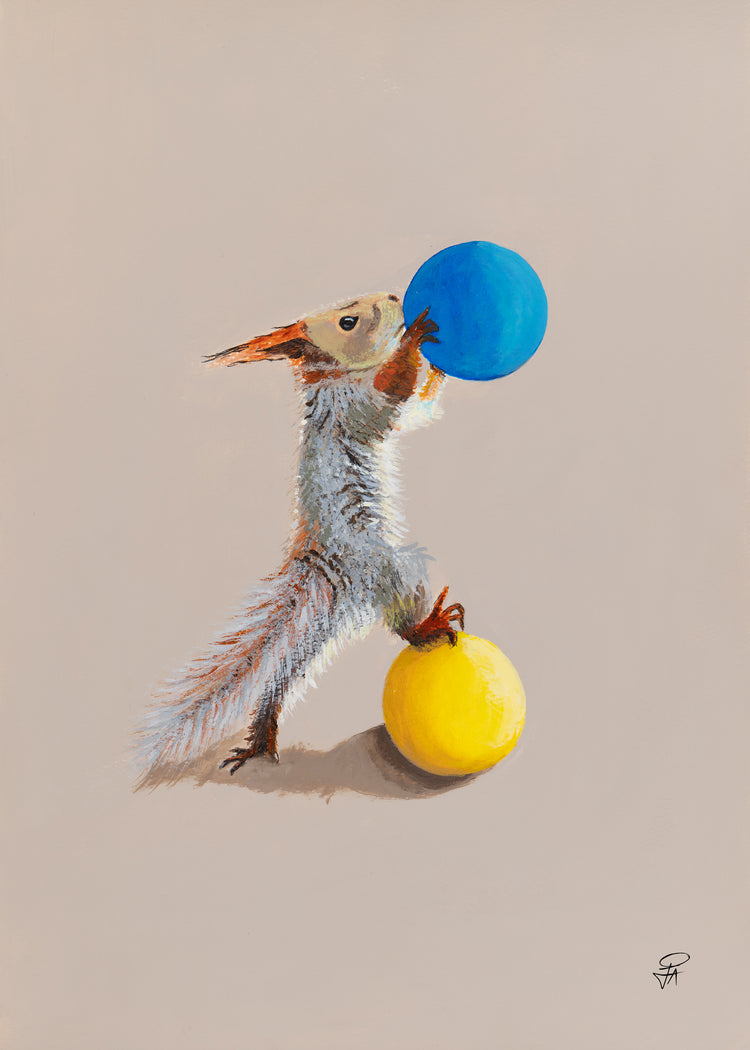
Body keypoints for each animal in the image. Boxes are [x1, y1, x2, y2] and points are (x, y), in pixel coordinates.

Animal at [135, 293, 465, 779]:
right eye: (348, 321)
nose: (393, 297)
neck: (332, 376)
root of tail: (325, 563)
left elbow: (418, 408)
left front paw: (436, 368)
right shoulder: (353, 405)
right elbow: (392, 391)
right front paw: (415, 337)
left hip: (331, 613)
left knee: (287, 671)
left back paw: (260, 737)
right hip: (392, 568)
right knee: (402, 623)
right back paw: (428, 625)